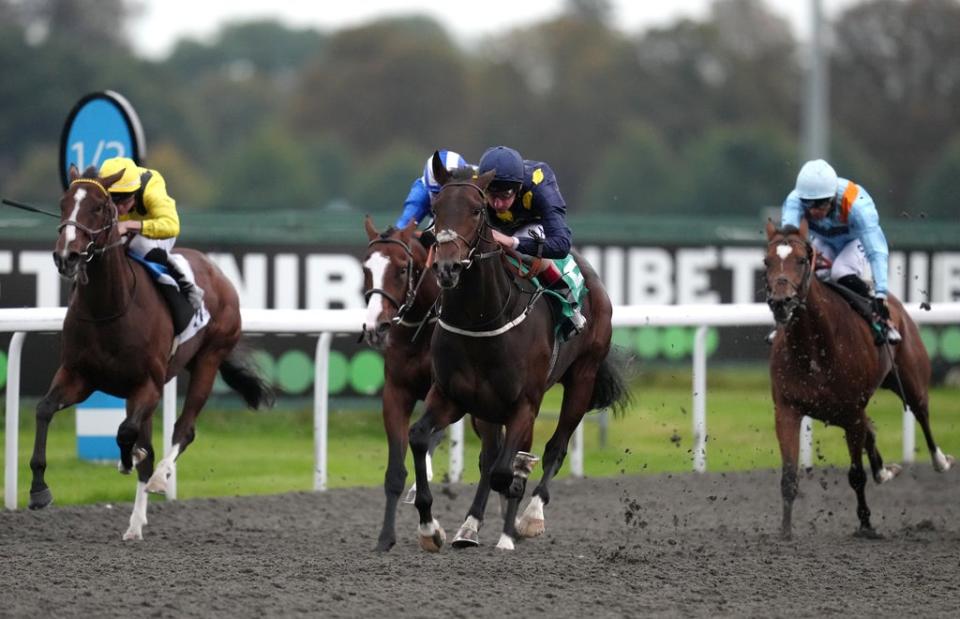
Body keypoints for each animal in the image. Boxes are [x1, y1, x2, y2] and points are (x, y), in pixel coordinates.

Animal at [33, 167, 272, 540]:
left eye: (100, 207)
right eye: (63, 203)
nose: (66, 256)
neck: (110, 309)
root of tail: (218, 271)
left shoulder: (147, 384)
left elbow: (127, 433)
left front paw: (128, 460)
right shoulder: (78, 377)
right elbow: (44, 410)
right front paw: (39, 490)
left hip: (208, 359)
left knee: (183, 430)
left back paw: (159, 477)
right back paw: (134, 525)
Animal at [404, 156, 632, 552]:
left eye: (476, 210)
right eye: (437, 208)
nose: (447, 268)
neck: (482, 319)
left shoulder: (525, 403)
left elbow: (504, 470)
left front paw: (516, 500)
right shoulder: (452, 396)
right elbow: (420, 438)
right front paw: (431, 528)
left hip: (582, 378)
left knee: (555, 446)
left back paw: (528, 517)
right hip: (487, 407)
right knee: (490, 456)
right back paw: (470, 528)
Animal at [764, 220, 952, 540]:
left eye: (801, 260)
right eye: (767, 261)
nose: (781, 303)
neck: (814, 348)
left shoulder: (851, 412)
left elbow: (855, 474)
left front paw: (866, 525)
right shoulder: (787, 410)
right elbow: (789, 476)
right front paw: (785, 532)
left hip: (910, 381)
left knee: (922, 414)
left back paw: (939, 461)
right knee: (871, 431)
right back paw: (885, 470)